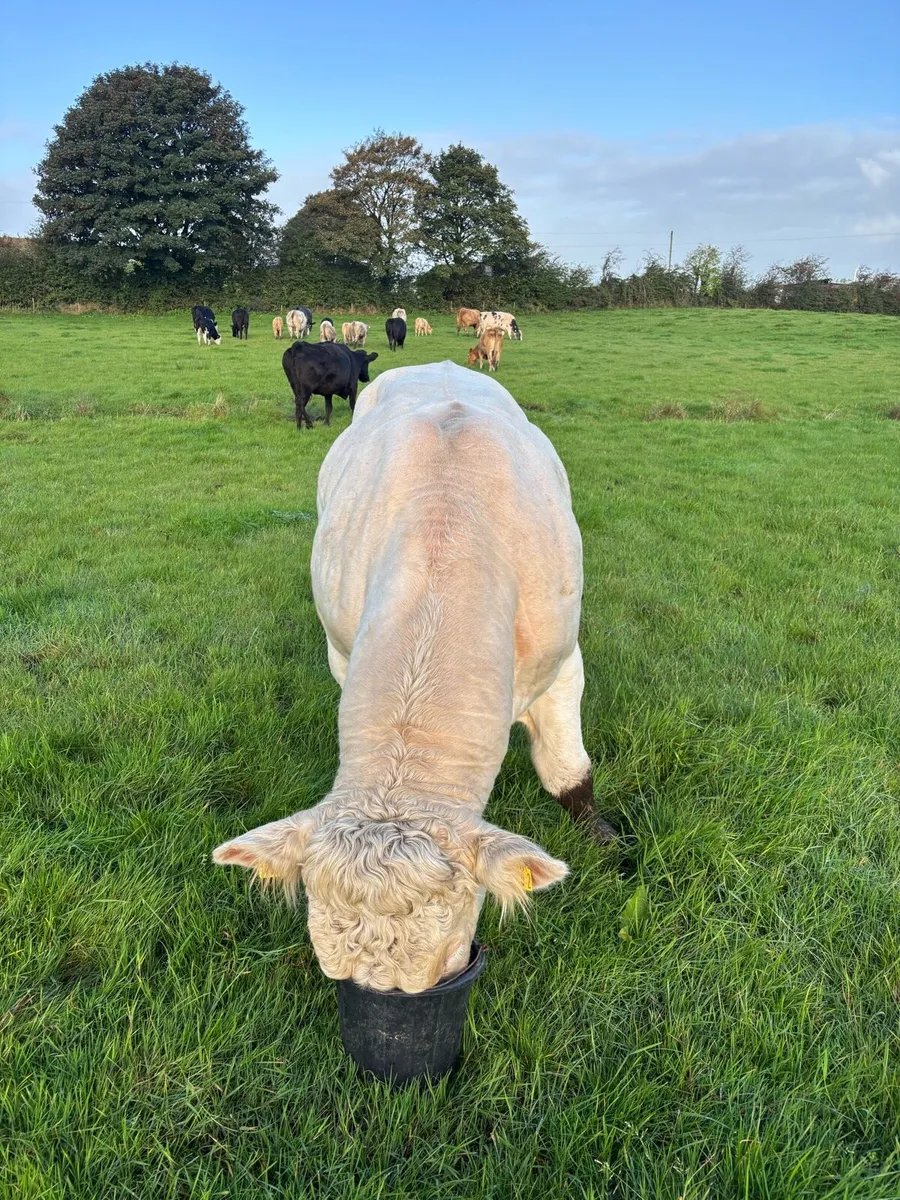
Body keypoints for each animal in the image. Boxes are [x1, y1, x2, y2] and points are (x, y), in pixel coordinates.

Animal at [213, 361, 615, 994]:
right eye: (334, 972)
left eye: (449, 958)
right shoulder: (342, 652)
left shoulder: (563, 664)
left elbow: (569, 774)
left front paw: (604, 840)